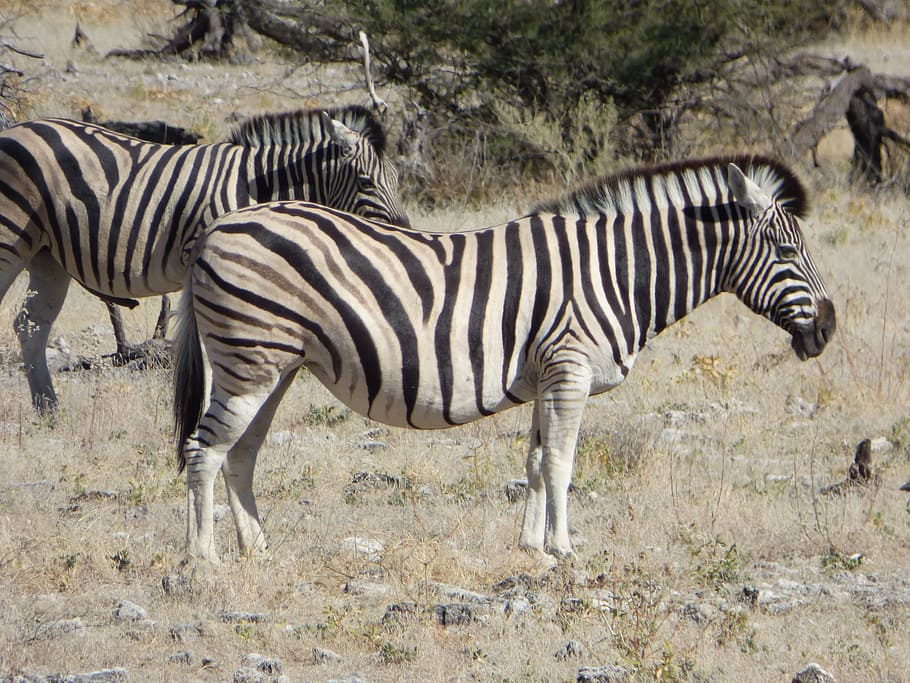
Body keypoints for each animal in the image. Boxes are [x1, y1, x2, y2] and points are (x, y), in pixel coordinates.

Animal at [0, 104, 409, 412]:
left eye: (396, 180)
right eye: (366, 182)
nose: (404, 231)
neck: (257, 189)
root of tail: (16, 128)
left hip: (47, 255)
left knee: (30, 326)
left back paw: (49, 411)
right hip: (10, 236)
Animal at [173, 155, 836, 561]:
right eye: (786, 251)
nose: (827, 329)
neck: (616, 272)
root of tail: (219, 226)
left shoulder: (549, 376)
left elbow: (537, 462)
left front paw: (532, 549)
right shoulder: (569, 368)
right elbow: (563, 463)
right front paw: (565, 549)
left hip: (276, 366)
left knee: (240, 453)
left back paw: (257, 550)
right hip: (247, 361)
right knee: (204, 450)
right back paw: (204, 560)